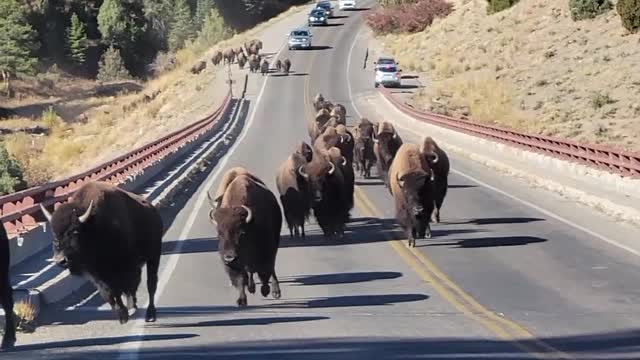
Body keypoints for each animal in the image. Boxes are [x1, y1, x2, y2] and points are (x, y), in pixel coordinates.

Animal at [39, 181, 162, 324]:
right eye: (54, 233)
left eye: (74, 231)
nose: (60, 260)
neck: (94, 227)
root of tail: (152, 209)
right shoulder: (98, 275)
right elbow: (110, 294)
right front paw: (122, 315)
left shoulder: (126, 267)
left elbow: (127, 286)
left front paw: (129, 308)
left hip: (154, 256)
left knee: (151, 283)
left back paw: (150, 314)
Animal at [209, 168, 282, 306]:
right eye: (218, 234)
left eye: (241, 233)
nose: (229, 258)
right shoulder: (234, 265)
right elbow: (240, 279)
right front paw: (241, 300)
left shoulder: (266, 252)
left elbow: (264, 272)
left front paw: (265, 290)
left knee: (271, 269)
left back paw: (275, 291)